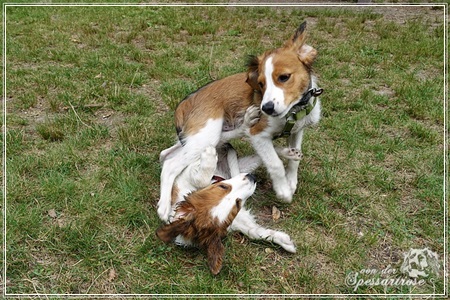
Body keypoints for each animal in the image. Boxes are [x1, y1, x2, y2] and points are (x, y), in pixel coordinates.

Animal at [157, 22, 320, 221]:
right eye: (261, 84)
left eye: (284, 77)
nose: (266, 108)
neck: (295, 110)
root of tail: (184, 103)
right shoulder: (258, 135)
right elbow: (274, 164)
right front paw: (283, 191)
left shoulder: (297, 130)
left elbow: (293, 160)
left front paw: (291, 181)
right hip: (206, 135)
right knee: (170, 164)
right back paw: (164, 207)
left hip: (197, 138)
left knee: (166, 154)